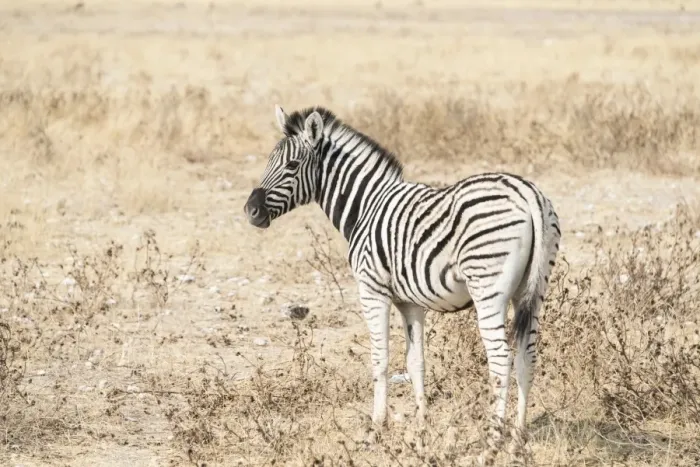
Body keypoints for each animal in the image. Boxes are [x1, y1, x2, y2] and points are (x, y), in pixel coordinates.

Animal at [244, 105, 561, 464]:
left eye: (292, 166)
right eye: (269, 162)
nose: (250, 211)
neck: (366, 206)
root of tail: (527, 192)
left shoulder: (372, 291)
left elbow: (380, 359)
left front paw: (375, 428)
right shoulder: (411, 303)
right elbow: (415, 362)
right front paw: (423, 428)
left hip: (488, 289)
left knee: (500, 359)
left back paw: (491, 446)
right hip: (533, 291)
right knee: (526, 357)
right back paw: (517, 441)